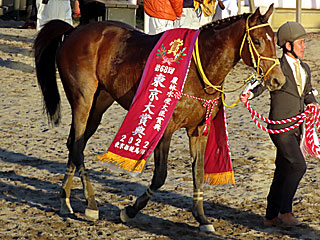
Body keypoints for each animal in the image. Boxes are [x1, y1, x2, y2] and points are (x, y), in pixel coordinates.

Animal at [34, 4, 284, 232]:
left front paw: (201, 218)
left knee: (75, 144)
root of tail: (74, 32)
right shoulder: (166, 129)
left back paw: (65, 200)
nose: (278, 80)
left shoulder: (198, 130)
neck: (198, 67)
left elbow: (198, 172)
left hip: (99, 104)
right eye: (258, 42)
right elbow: (160, 176)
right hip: (82, 101)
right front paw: (130, 211)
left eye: (275, 41)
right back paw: (92, 203)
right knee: (77, 147)